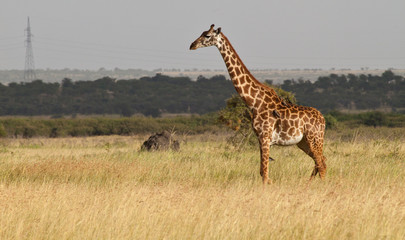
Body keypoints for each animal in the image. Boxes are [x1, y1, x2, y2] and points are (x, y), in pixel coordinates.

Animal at [189, 24, 326, 184]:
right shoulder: (260, 138)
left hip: (314, 138)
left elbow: (265, 174)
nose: (192, 45)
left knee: (321, 164)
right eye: (202, 33)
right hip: (303, 142)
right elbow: (262, 172)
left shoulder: (265, 136)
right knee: (320, 161)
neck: (254, 102)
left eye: (207, 36)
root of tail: (323, 120)